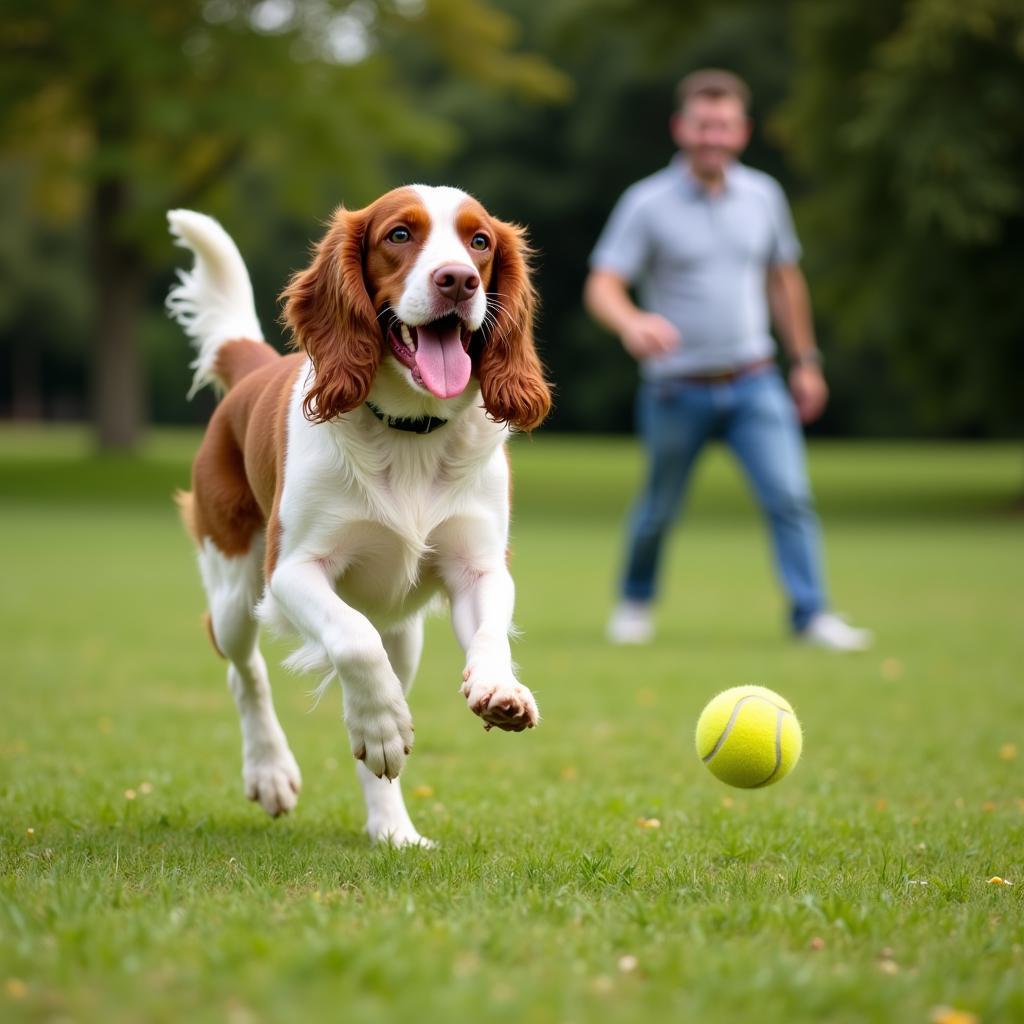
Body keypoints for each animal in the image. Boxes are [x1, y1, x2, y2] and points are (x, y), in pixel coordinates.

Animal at [165, 186, 552, 847]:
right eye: (399, 235)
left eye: (480, 241)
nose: (459, 280)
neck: (410, 430)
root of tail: (253, 371)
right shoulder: (292, 570)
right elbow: (353, 643)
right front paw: (381, 726)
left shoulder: (479, 567)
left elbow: (489, 632)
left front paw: (499, 688)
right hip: (236, 590)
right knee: (244, 669)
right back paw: (272, 770)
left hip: (406, 631)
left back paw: (392, 830)